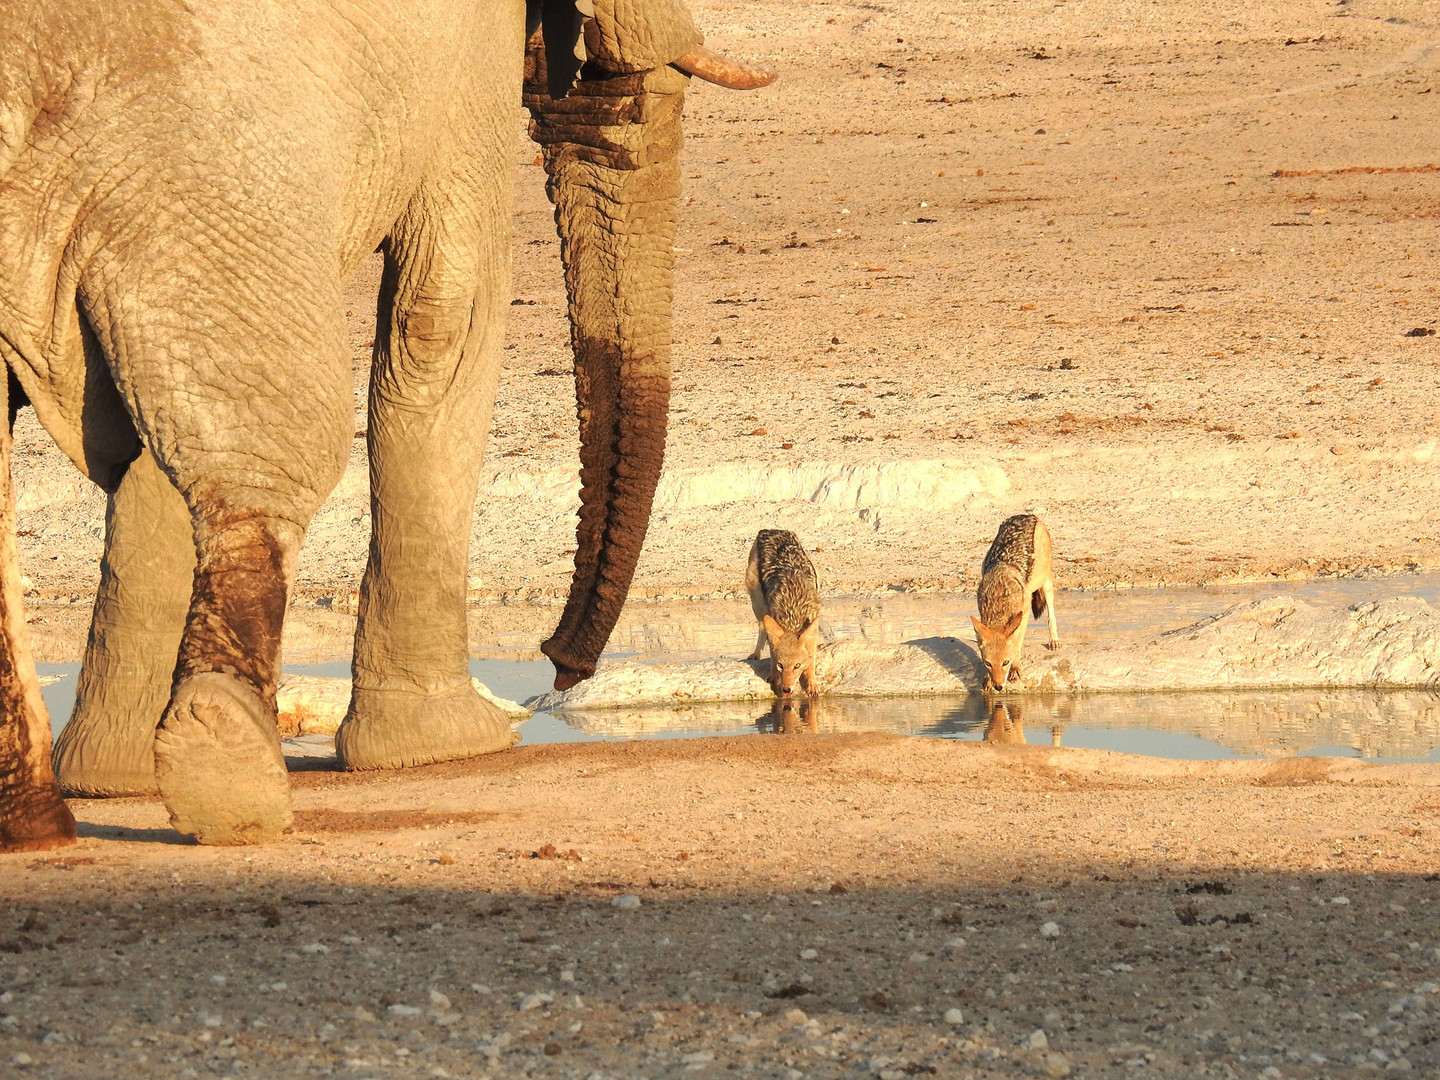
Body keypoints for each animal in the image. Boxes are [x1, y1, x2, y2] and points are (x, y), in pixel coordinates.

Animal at [0, 0, 771, 852]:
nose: (561, 663)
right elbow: (446, 313)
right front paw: (449, 746)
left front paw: (113, 778)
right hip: (194, 150)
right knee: (288, 435)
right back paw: (227, 780)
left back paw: (38, 822)